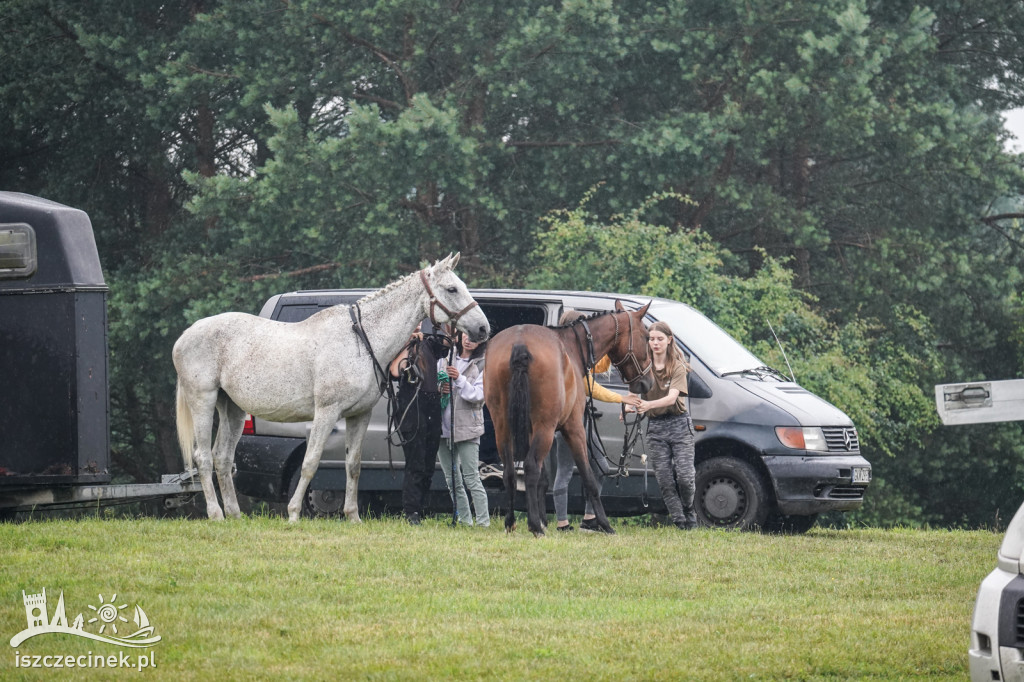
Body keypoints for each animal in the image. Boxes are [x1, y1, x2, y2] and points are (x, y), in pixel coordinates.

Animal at [174, 253, 489, 520]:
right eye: (451, 289)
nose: (483, 329)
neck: (360, 340)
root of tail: (186, 335)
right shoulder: (326, 413)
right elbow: (311, 462)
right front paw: (293, 514)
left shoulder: (358, 415)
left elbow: (353, 465)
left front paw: (353, 516)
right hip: (203, 401)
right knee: (203, 458)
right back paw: (216, 515)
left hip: (232, 409)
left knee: (222, 458)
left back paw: (234, 516)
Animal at [483, 301, 651, 532]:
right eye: (647, 337)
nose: (647, 383)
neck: (571, 347)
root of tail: (520, 343)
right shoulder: (574, 428)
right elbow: (588, 477)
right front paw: (605, 524)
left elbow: (543, 480)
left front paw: (544, 520)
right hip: (545, 428)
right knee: (530, 467)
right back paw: (535, 527)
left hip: (503, 427)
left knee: (509, 471)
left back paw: (511, 522)